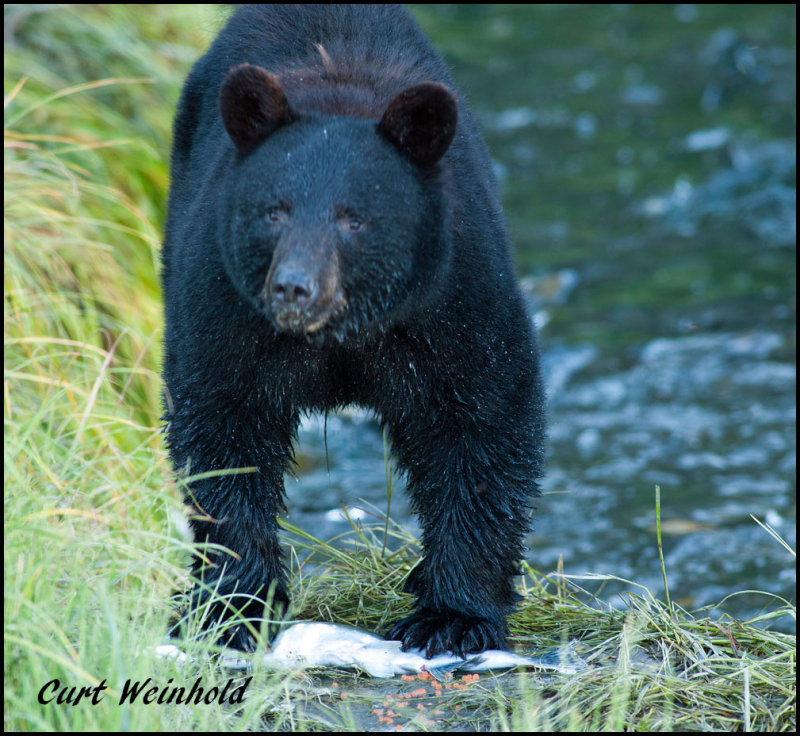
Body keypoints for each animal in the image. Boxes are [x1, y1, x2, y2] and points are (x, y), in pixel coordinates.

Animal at [163, 5, 548, 660]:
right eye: (274, 211)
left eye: (354, 218)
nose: (294, 287)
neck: (343, 333)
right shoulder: (224, 306)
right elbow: (222, 432)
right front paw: (234, 607)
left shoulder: (454, 300)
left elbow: (484, 423)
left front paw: (451, 617)